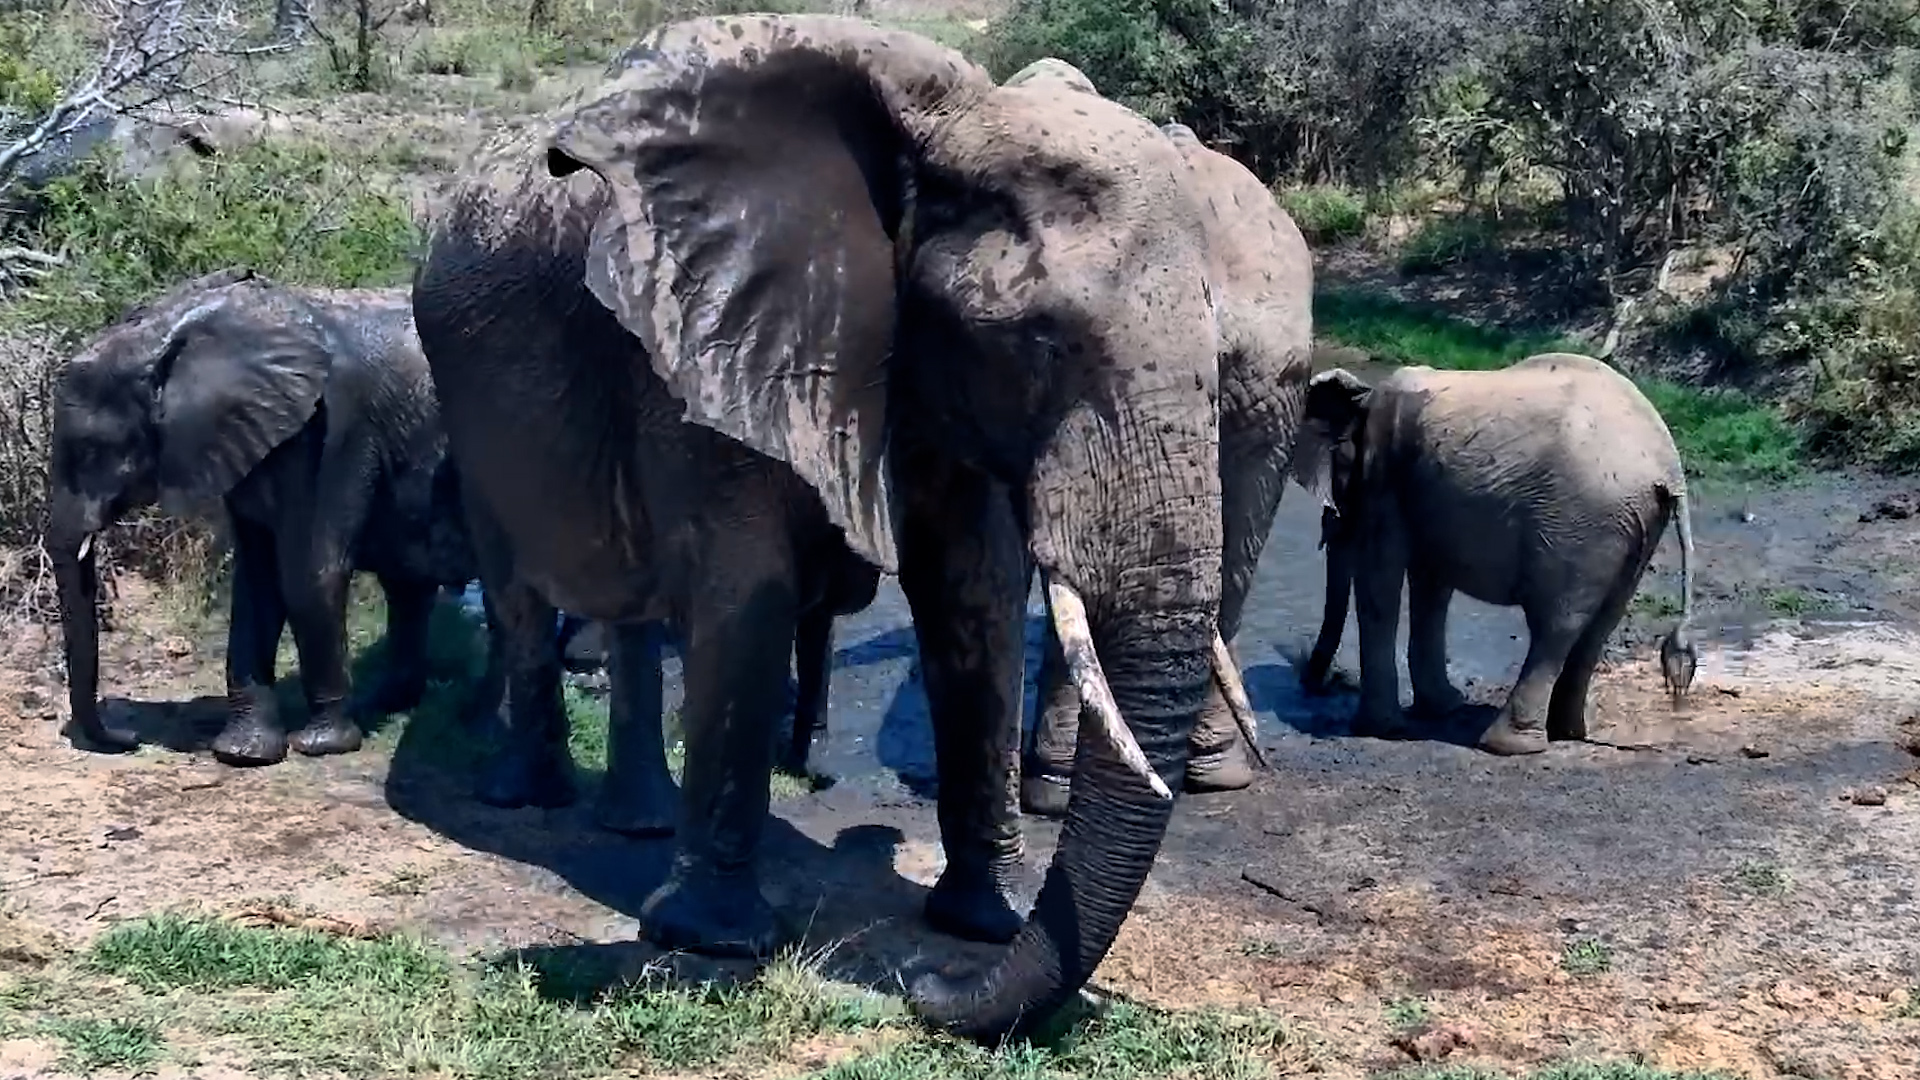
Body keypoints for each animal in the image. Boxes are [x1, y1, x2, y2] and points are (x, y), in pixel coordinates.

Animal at [48, 267, 503, 766]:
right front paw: (244, 752)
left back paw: (478, 726)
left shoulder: (334, 430)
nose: (126, 737)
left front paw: (320, 746)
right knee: (407, 588)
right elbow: (257, 584)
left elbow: (309, 576)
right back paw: (388, 704)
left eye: (91, 450)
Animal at [410, 13, 1260, 1041]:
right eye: (1039, 342)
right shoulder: (708, 336)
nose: (928, 992)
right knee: (520, 592)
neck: (951, 122)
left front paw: (979, 924)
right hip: (467, 403)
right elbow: (751, 588)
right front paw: (716, 941)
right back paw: (527, 797)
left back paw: (636, 820)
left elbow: (972, 593)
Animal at [1294, 354, 1699, 755]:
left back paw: (1506, 743)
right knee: (1600, 624)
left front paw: (1380, 729)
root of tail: (1670, 470)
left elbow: (1380, 579)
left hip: (1584, 522)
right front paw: (1443, 708)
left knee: (1557, 625)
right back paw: (1566, 733)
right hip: (1633, 525)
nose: (1316, 682)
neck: (1363, 398)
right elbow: (1431, 583)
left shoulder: (1385, 474)